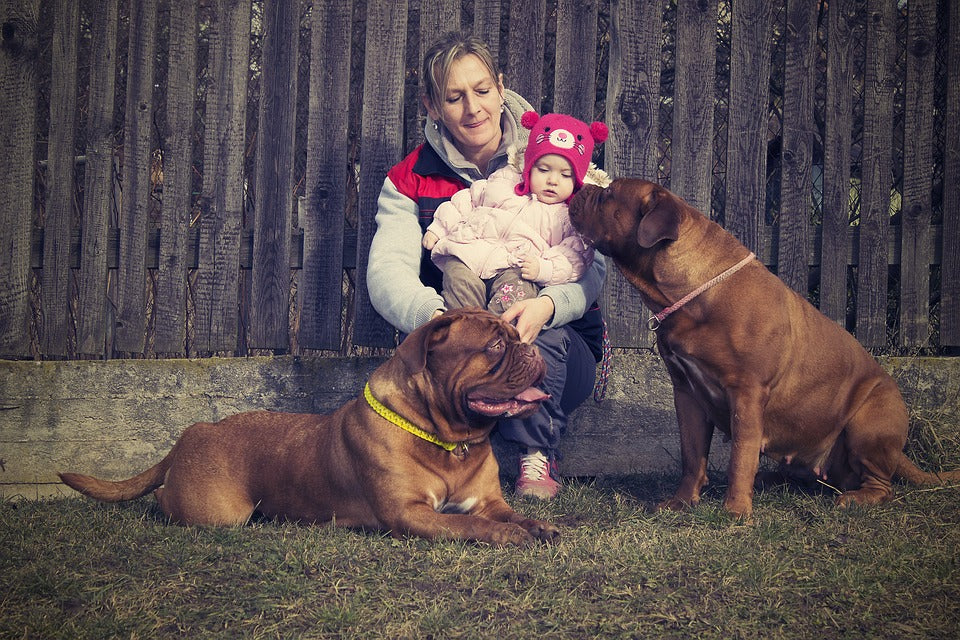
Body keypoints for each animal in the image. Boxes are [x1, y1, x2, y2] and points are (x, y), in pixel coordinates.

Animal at [60, 308, 564, 544]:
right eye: (496, 345)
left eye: (518, 336)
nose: (531, 350)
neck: (447, 439)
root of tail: (194, 431)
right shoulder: (411, 513)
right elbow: (468, 525)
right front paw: (510, 536)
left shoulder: (488, 502)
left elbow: (508, 514)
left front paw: (536, 525)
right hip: (220, 513)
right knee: (165, 499)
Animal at [568, 178, 960, 516]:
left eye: (609, 195)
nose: (581, 189)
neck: (696, 293)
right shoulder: (687, 393)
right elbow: (692, 454)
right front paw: (682, 501)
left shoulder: (747, 392)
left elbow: (740, 456)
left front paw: (736, 511)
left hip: (869, 422)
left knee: (882, 485)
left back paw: (855, 498)